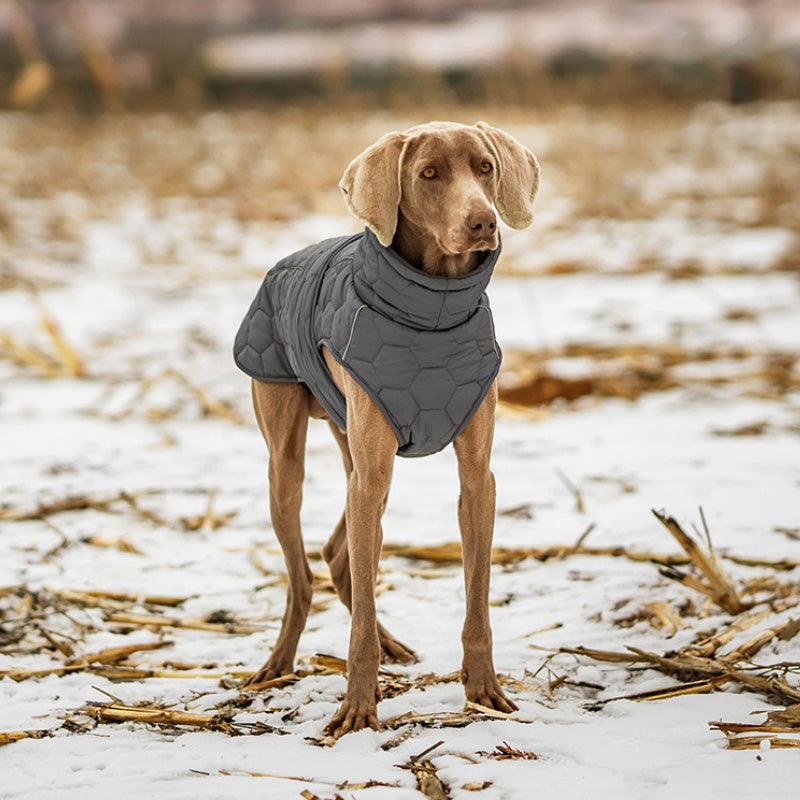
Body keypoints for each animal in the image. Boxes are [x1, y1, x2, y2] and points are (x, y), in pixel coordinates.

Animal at [234, 120, 540, 736]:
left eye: (485, 167)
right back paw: (278, 664)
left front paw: (484, 690)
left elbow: (477, 598)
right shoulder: (370, 469)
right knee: (303, 574)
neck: (433, 316)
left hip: (353, 445)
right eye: (429, 174)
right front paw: (357, 708)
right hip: (290, 463)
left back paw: (390, 644)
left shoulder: (478, 480)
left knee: (337, 552)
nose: (483, 222)